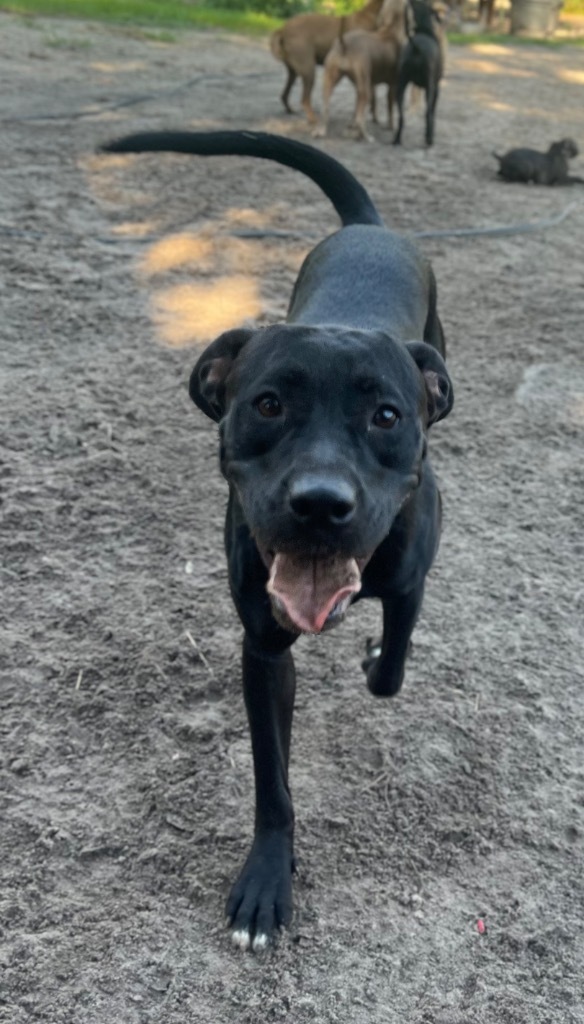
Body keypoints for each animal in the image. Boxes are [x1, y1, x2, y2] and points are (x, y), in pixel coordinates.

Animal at [100, 130, 454, 950]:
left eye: (387, 416)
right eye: (266, 404)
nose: (321, 504)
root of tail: (369, 227)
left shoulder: (411, 578)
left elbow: (392, 666)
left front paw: (374, 657)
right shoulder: (262, 650)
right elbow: (273, 780)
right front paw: (268, 877)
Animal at [313, 0, 403, 142]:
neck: (390, 30)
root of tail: (344, 44)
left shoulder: (365, 85)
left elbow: (359, 108)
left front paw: (353, 125)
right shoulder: (392, 85)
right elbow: (389, 107)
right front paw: (391, 127)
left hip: (329, 81)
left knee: (325, 109)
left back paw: (320, 130)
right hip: (364, 89)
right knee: (361, 121)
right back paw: (366, 136)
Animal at [391, 0, 440, 148]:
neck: (424, 29)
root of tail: (415, 48)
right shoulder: (436, 88)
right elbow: (433, 112)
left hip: (400, 86)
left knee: (401, 116)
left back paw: (397, 139)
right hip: (430, 88)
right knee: (427, 113)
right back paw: (429, 139)